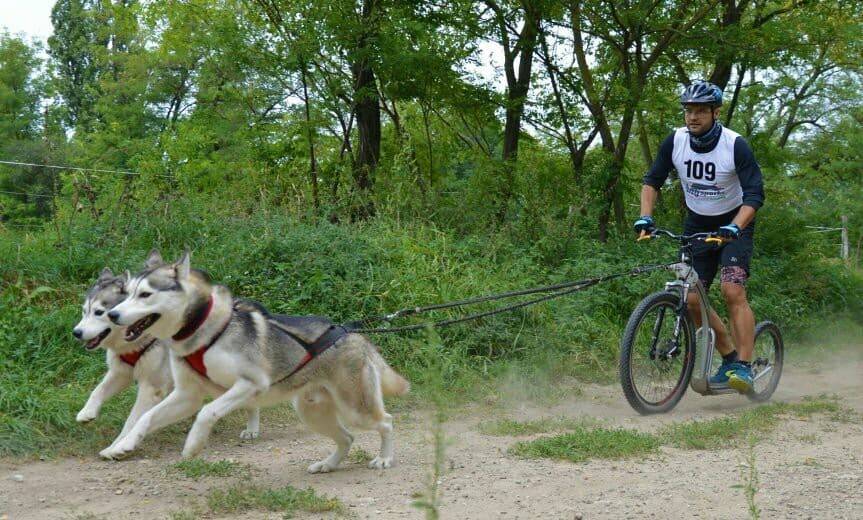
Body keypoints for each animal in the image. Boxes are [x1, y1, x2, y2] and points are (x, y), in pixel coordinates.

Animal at [72, 268, 262, 450]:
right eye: (84, 311)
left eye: (99, 312)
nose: (76, 332)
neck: (140, 340)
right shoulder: (121, 373)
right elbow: (99, 390)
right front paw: (87, 411)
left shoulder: (151, 389)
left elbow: (132, 421)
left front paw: (117, 445)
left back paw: (252, 428)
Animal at [101, 250, 412, 474]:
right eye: (127, 293)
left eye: (145, 294)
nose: (112, 315)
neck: (204, 331)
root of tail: (355, 335)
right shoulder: (186, 395)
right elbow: (145, 417)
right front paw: (123, 445)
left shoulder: (250, 384)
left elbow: (207, 412)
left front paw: (193, 444)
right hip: (311, 411)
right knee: (347, 438)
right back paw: (328, 464)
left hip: (355, 409)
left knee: (386, 421)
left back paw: (384, 459)